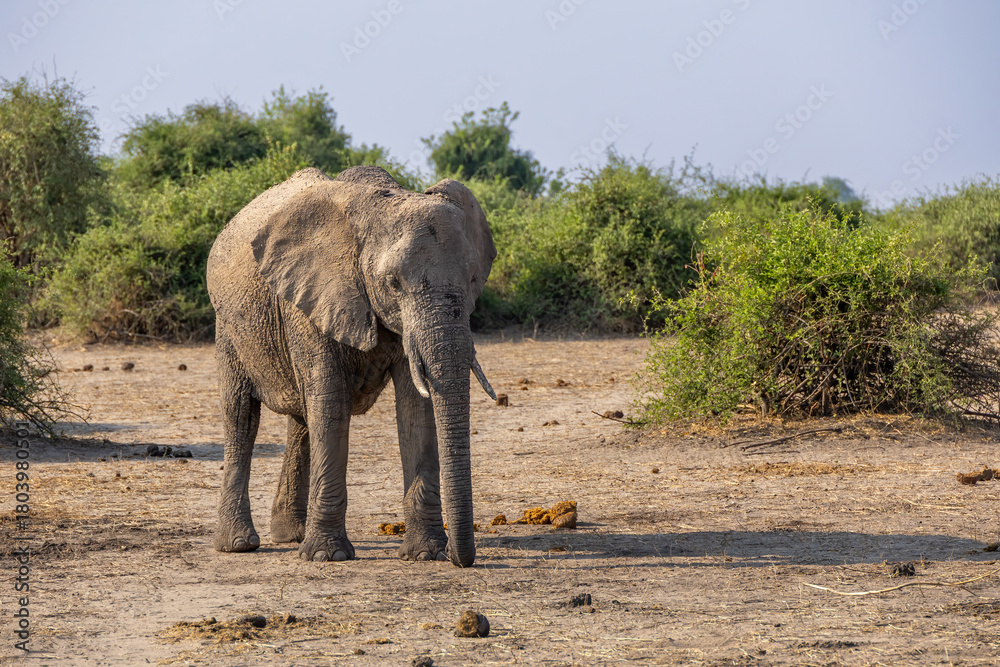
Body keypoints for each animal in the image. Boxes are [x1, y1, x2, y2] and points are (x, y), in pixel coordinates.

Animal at [206, 165, 497, 567]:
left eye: (472, 279)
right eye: (393, 283)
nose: (460, 557)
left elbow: (415, 406)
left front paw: (426, 554)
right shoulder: (310, 302)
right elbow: (331, 402)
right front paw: (327, 556)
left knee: (302, 419)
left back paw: (291, 535)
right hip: (229, 326)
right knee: (241, 416)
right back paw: (239, 544)